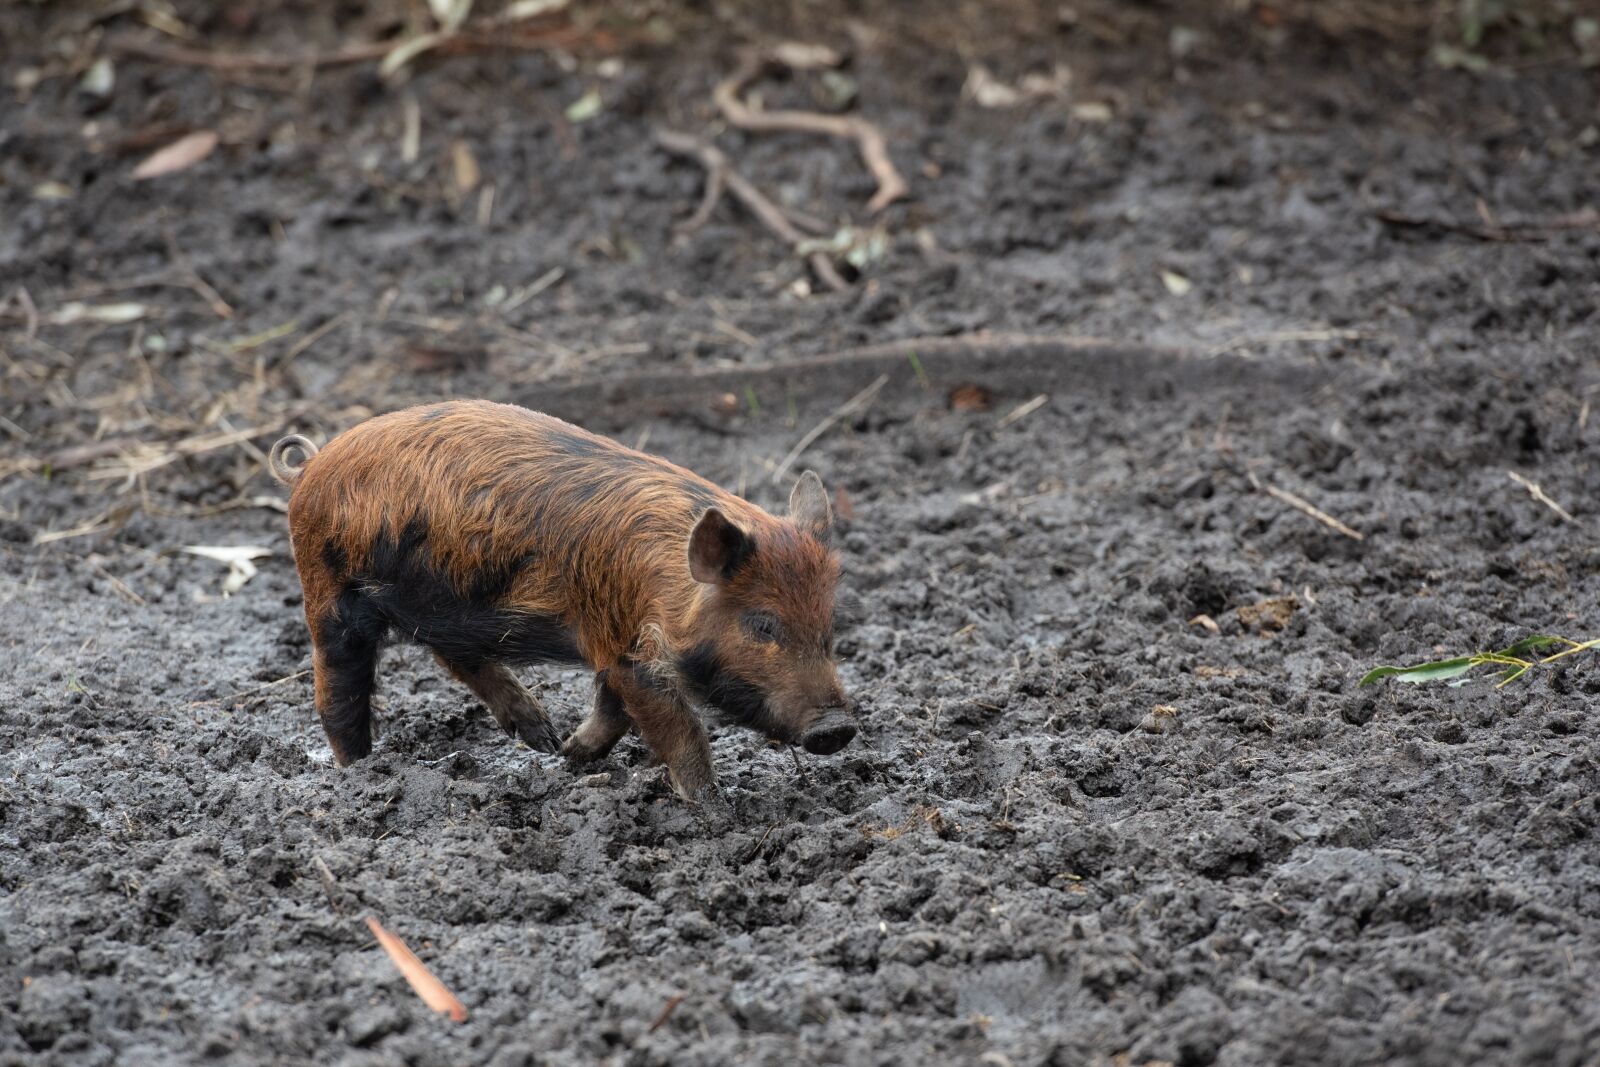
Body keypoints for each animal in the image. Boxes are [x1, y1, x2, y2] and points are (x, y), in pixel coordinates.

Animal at [267, 399, 855, 801]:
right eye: (762, 625)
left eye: (828, 627)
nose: (838, 727)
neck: (668, 585)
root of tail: (309, 467)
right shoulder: (625, 647)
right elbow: (678, 728)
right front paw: (711, 807)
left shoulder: (613, 643)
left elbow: (613, 709)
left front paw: (572, 755)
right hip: (329, 595)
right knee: (337, 692)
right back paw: (360, 774)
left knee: (454, 656)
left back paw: (543, 739)